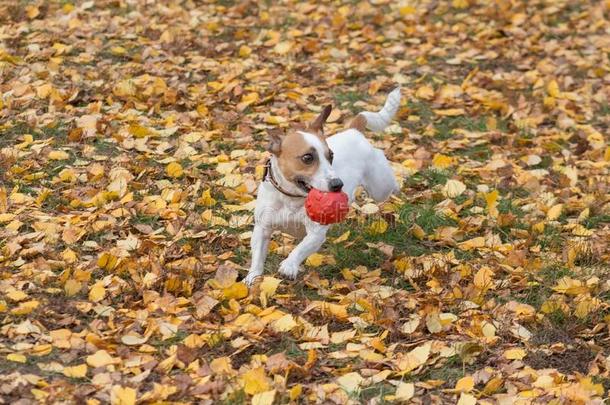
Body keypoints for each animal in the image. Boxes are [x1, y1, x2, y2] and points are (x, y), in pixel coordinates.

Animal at [245, 88, 402, 284]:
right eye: (307, 158)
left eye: (331, 156)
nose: (338, 184)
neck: (291, 198)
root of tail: (354, 131)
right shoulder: (262, 228)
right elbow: (257, 256)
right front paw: (252, 277)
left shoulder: (316, 233)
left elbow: (301, 248)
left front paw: (289, 265)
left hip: (380, 187)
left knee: (389, 185)